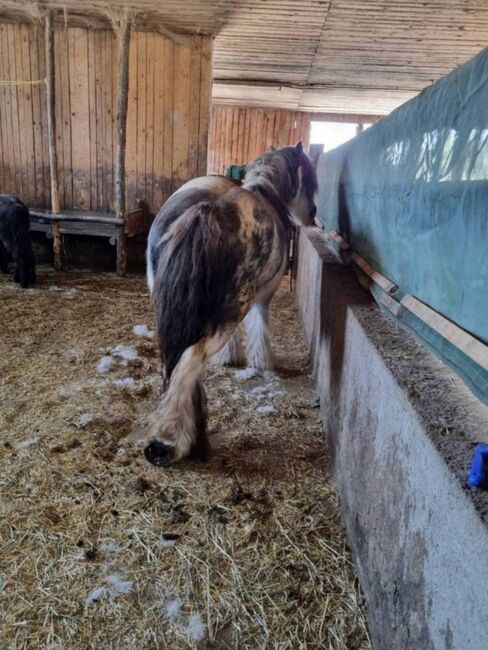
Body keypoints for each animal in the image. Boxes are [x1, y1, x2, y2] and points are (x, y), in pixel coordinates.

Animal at [142, 142, 316, 466]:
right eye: (310, 178)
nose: (312, 215)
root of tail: (206, 210)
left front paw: (230, 358)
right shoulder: (261, 299)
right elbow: (260, 330)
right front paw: (262, 362)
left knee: (178, 365)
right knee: (189, 362)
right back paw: (169, 441)